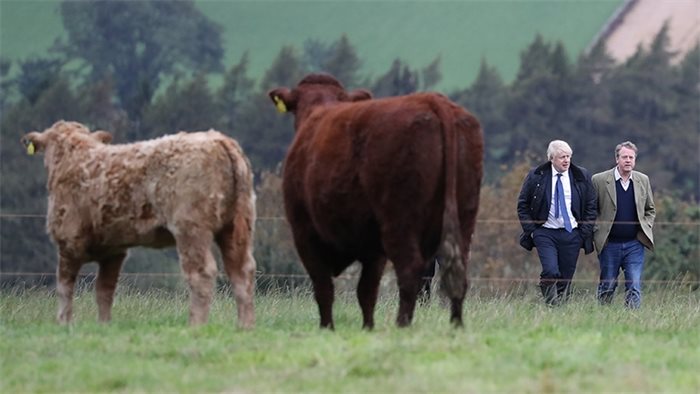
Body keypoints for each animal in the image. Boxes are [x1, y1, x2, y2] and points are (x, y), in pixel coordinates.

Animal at [21, 121, 258, 330]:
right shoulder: (114, 250)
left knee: (202, 273)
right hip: (236, 227)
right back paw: (244, 326)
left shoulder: (68, 240)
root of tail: (219, 139)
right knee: (241, 272)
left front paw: (64, 323)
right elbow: (104, 290)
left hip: (191, 229)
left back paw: (195, 325)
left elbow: (65, 286)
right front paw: (104, 325)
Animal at [270, 74, 484, 330]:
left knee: (410, 270)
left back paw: (402, 325)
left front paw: (328, 328)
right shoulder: (373, 247)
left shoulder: (304, 233)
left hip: (399, 221)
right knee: (456, 272)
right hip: (463, 217)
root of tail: (432, 101)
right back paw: (455, 326)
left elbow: (324, 288)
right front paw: (367, 328)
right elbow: (366, 291)